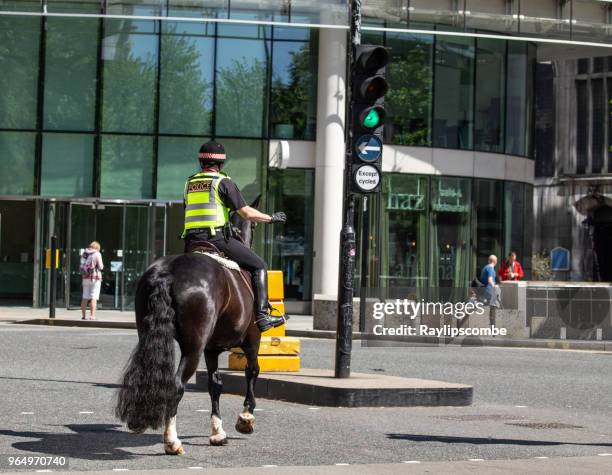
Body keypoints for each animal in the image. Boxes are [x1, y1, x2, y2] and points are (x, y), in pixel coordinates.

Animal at [115, 204, 260, 454]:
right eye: (253, 225)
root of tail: (167, 273)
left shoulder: (211, 349)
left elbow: (215, 384)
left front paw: (217, 432)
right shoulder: (252, 340)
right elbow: (252, 372)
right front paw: (246, 417)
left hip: (150, 336)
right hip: (193, 347)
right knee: (176, 385)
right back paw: (172, 441)